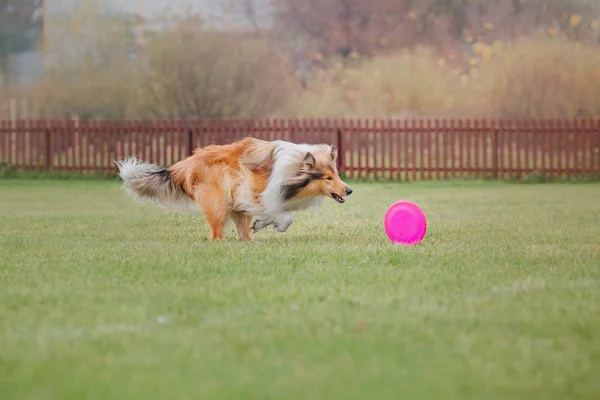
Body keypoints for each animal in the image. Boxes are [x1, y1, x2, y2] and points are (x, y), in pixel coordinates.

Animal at [113, 137, 352, 241]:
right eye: (328, 177)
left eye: (337, 174)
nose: (349, 190)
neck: (293, 171)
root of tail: (186, 163)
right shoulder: (256, 192)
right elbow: (285, 216)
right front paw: (275, 224)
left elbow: (277, 213)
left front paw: (262, 224)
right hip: (219, 204)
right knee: (217, 232)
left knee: (242, 231)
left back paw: (249, 240)